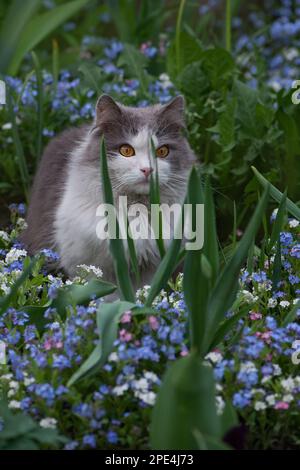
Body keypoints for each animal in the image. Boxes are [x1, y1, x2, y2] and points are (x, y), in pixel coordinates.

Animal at [19, 94, 196, 286]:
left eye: (162, 151)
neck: (136, 208)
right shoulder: (90, 264)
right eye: (126, 150)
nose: (147, 170)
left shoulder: (153, 265)